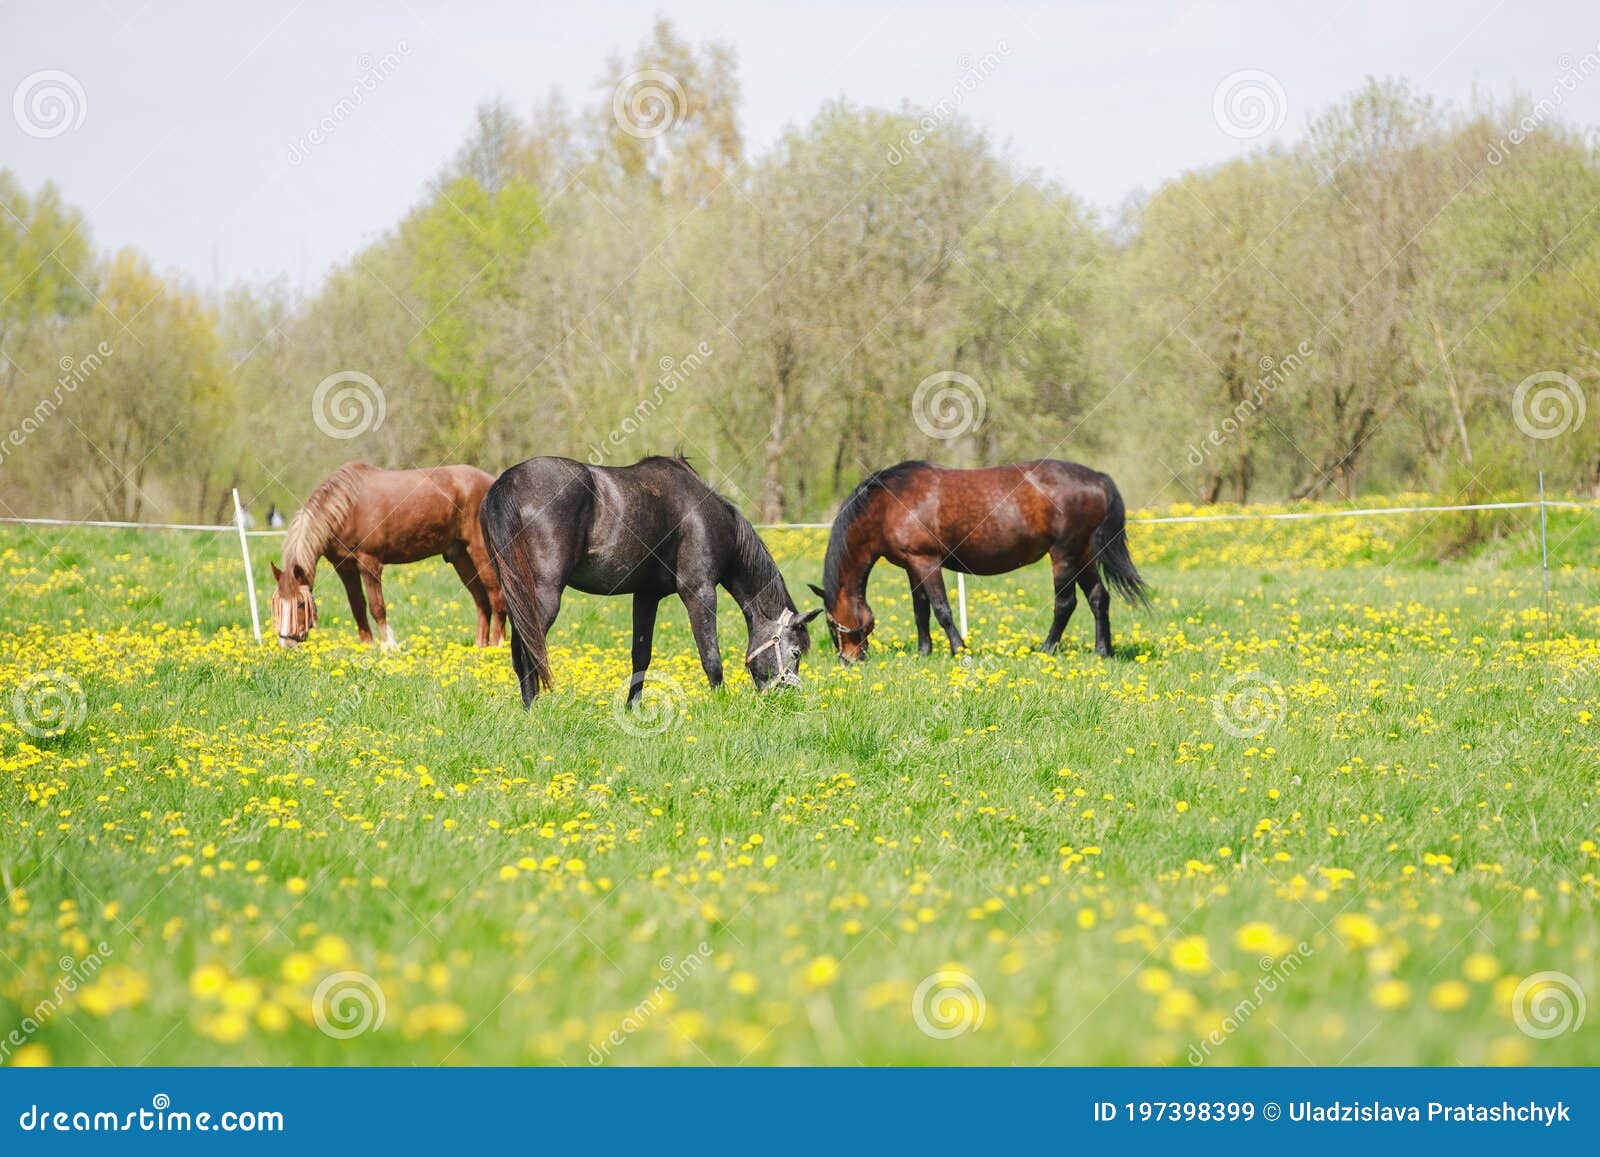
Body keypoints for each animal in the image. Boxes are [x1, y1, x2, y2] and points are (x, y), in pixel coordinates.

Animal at [270, 462, 507, 648]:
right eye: (277, 604)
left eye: (301, 604)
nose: (287, 642)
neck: (347, 509)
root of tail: (492, 483)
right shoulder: (344, 567)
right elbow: (357, 606)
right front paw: (367, 646)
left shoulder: (370, 563)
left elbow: (377, 607)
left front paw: (388, 646)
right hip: (461, 557)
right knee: (481, 599)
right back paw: (480, 645)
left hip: (480, 551)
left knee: (496, 595)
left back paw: (498, 644)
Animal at [478, 455, 821, 707]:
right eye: (795, 653)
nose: (785, 699)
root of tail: (508, 481)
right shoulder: (699, 590)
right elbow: (711, 656)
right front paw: (721, 706)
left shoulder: (646, 595)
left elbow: (641, 656)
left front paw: (633, 708)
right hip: (543, 596)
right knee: (528, 649)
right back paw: (533, 708)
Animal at [810, 459, 1148, 662]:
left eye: (830, 621)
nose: (848, 660)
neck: (889, 503)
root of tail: (1098, 478)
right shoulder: (912, 566)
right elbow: (921, 611)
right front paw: (924, 652)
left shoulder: (926, 562)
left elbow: (941, 610)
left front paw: (959, 650)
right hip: (1084, 555)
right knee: (1098, 598)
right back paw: (1103, 651)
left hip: (1065, 555)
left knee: (1066, 604)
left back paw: (1046, 648)